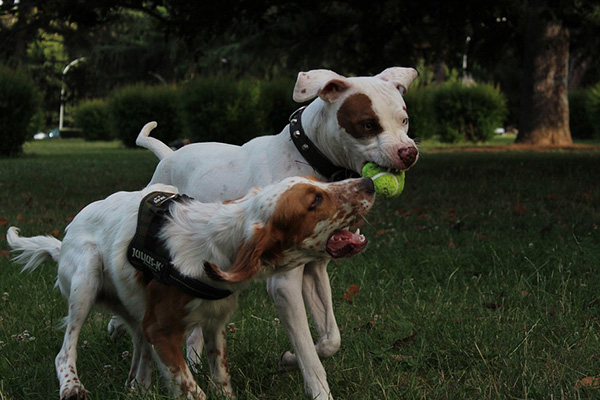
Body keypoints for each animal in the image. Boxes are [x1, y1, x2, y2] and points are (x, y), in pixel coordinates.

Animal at [7, 177, 376, 400]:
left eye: (319, 182)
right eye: (315, 200)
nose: (369, 182)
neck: (217, 246)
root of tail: (65, 236)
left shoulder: (213, 322)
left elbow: (220, 377)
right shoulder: (161, 330)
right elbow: (193, 389)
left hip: (135, 311)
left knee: (138, 357)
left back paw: (138, 387)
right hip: (86, 276)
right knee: (65, 351)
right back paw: (72, 386)